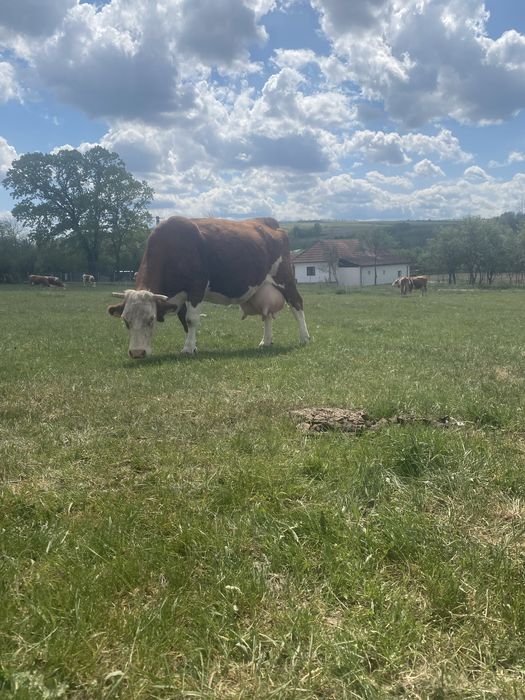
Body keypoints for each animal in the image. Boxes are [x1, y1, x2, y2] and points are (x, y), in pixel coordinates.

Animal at [108, 216, 310, 358]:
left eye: (151, 319)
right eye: (126, 321)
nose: (137, 353)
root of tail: (268, 223)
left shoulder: (196, 288)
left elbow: (191, 320)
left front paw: (188, 349)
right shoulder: (181, 296)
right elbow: (183, 321)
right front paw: (193, 345)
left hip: (285, 279)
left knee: (297, 304)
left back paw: (304, 338)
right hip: (262, 288)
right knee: (266, 314)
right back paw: (266, 341)